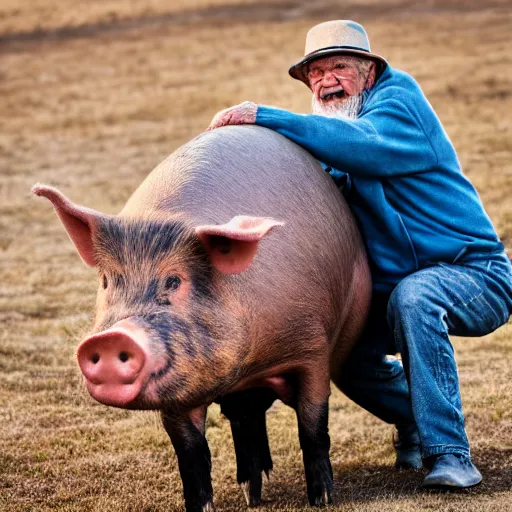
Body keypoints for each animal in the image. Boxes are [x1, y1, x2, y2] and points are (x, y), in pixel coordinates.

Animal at [32, 125, 370, 512]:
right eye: (107, 281)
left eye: (175, 280)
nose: (111, 337)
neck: (248, 364)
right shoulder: (178, 390)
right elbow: (190, 454)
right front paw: (201, 506)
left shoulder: (313, 348)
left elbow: (313, 425)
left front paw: (323, 500)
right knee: (245, 420)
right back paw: (251, 494)